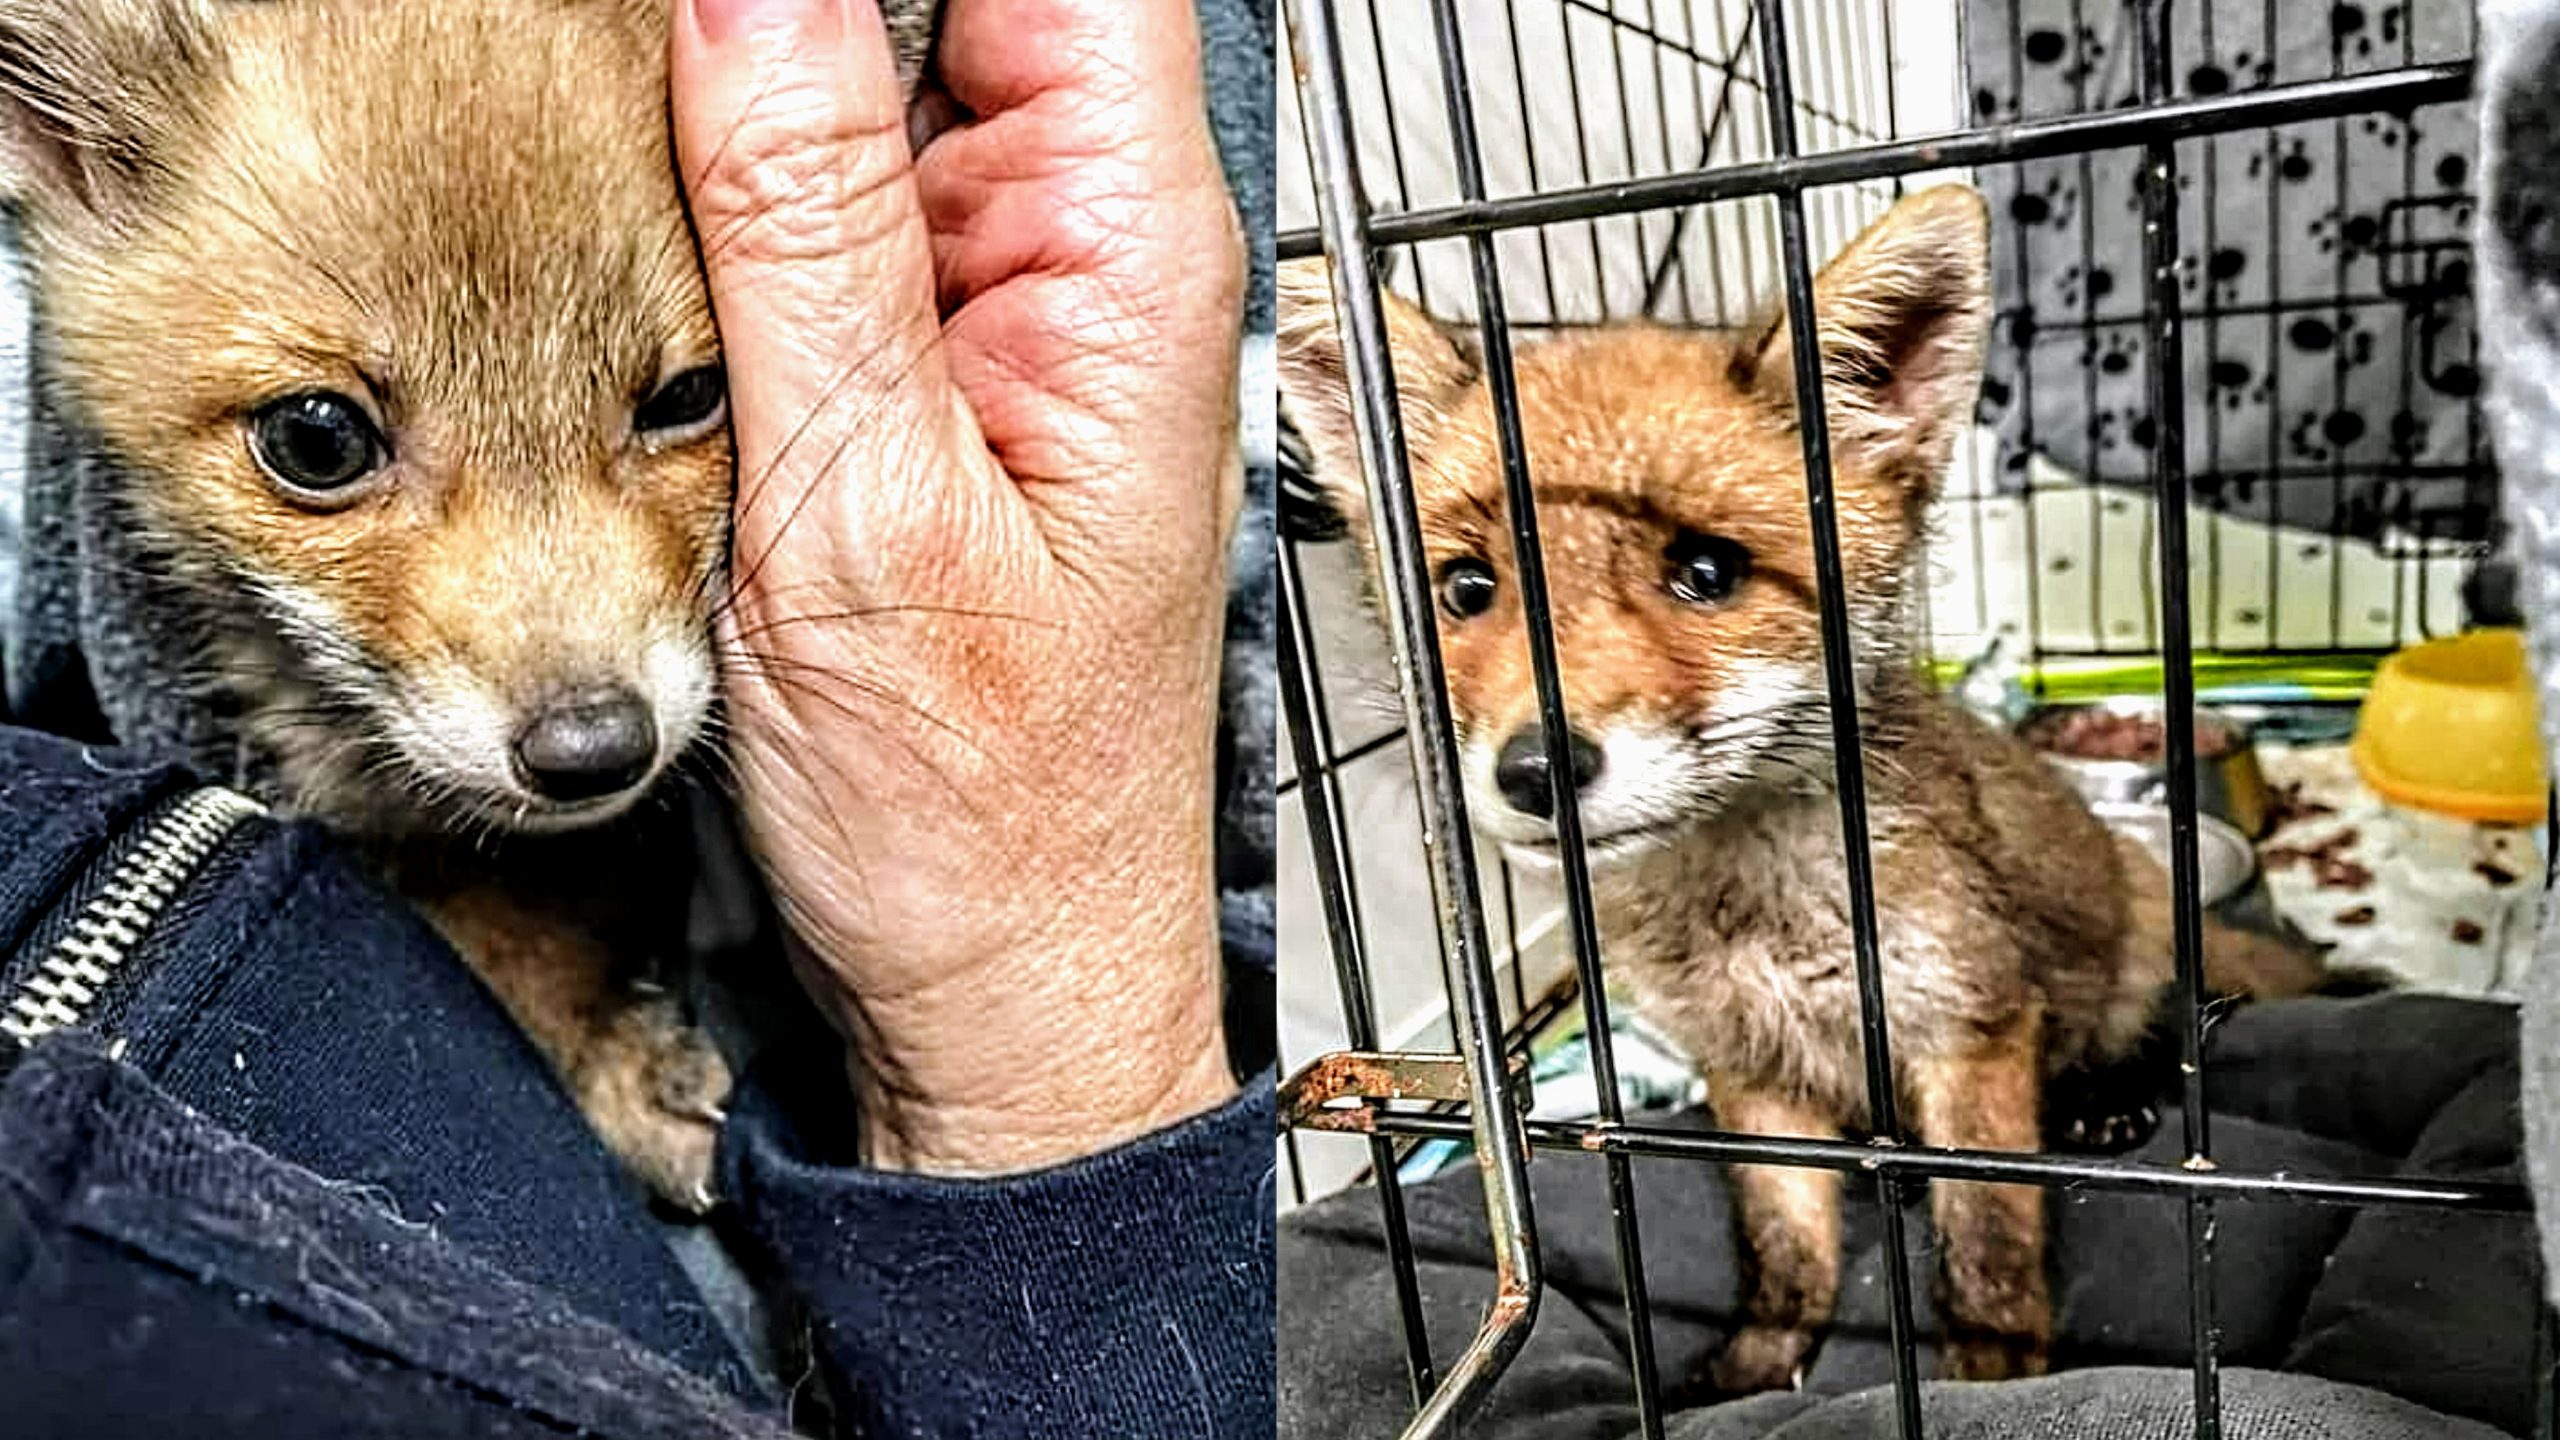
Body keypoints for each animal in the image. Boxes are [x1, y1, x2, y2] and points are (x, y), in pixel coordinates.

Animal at [1277, 187, 2323, 1389]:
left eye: (1707, 572)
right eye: (1465, 590)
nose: (1533, 770)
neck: (1760, 919)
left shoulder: (1969, 1028)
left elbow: (1989, 1244)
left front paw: (1992, 1376)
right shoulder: (1751, 1073)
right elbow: (1785, 1244)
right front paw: (1756, 1365)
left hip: (2136, 933)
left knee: (2169, 1023)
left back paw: (2108, 1102)